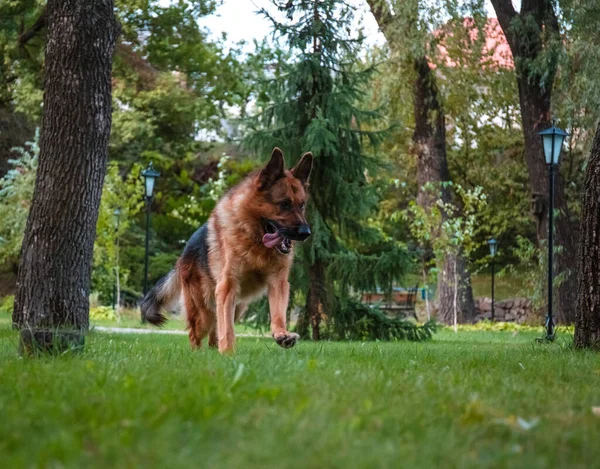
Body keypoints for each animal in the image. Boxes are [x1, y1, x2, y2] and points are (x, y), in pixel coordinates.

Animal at [141, 148, 314, 352]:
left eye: (302, 205)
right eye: (284, 204)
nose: (306, 233)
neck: (255, 242)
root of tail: (183, 255)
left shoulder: (278, 283)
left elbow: (278, 314)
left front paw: (281, 334)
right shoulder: (227, 288)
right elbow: (228, 329)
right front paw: (229, 353)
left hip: (237, 308)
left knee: (214, 331)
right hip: (205, 311)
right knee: (196, 332)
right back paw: (198, 353)